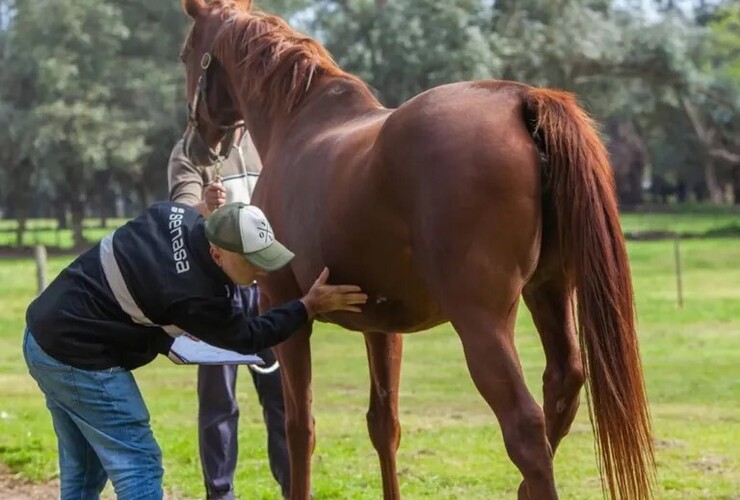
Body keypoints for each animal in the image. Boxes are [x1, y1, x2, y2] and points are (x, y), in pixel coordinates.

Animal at [178, 1, 652, 498]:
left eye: (187, 52)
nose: (197, 145)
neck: (300, 124)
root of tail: (521, 100)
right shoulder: (382, 326)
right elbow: (384, 425)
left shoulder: (284, 307)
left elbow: (299, 428)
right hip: (549, 290)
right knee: (562, 385)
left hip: (482, 320)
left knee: (526, 429)